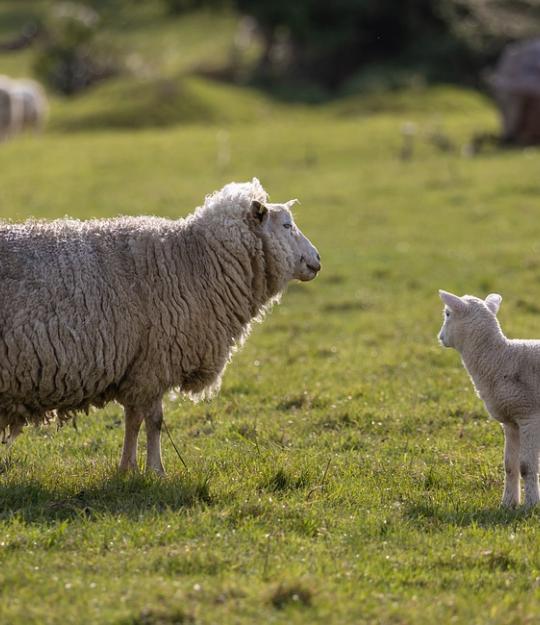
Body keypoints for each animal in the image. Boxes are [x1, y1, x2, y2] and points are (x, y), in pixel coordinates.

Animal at [0, 179, 320, 472]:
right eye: (287, 226)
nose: (317, 260)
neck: (194, 261)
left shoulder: (137, 366)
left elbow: (133, 419)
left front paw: (128, 469)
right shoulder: (155, 362)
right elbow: (154, 421)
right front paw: (156, 470)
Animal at [440, 288, 540, 508]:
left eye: (448, 314)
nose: (440, 337)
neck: (499, 359)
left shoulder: (529, 415)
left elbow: (526, 466)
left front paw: (531, 505)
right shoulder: (511, 422)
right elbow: (510, 465)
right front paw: (508, 504)